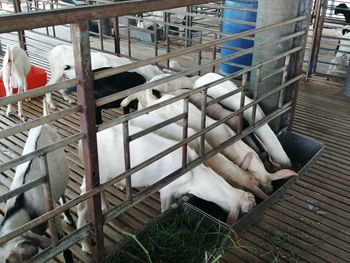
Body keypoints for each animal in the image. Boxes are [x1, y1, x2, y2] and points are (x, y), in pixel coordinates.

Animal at [78, 124, 256, 254]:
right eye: (246, 209)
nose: (254, 202)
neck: (194, 177)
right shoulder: (166, 190)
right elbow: (164, 210)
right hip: (97, 178)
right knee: (82, 206)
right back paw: (86, 245)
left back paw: (106, 209)